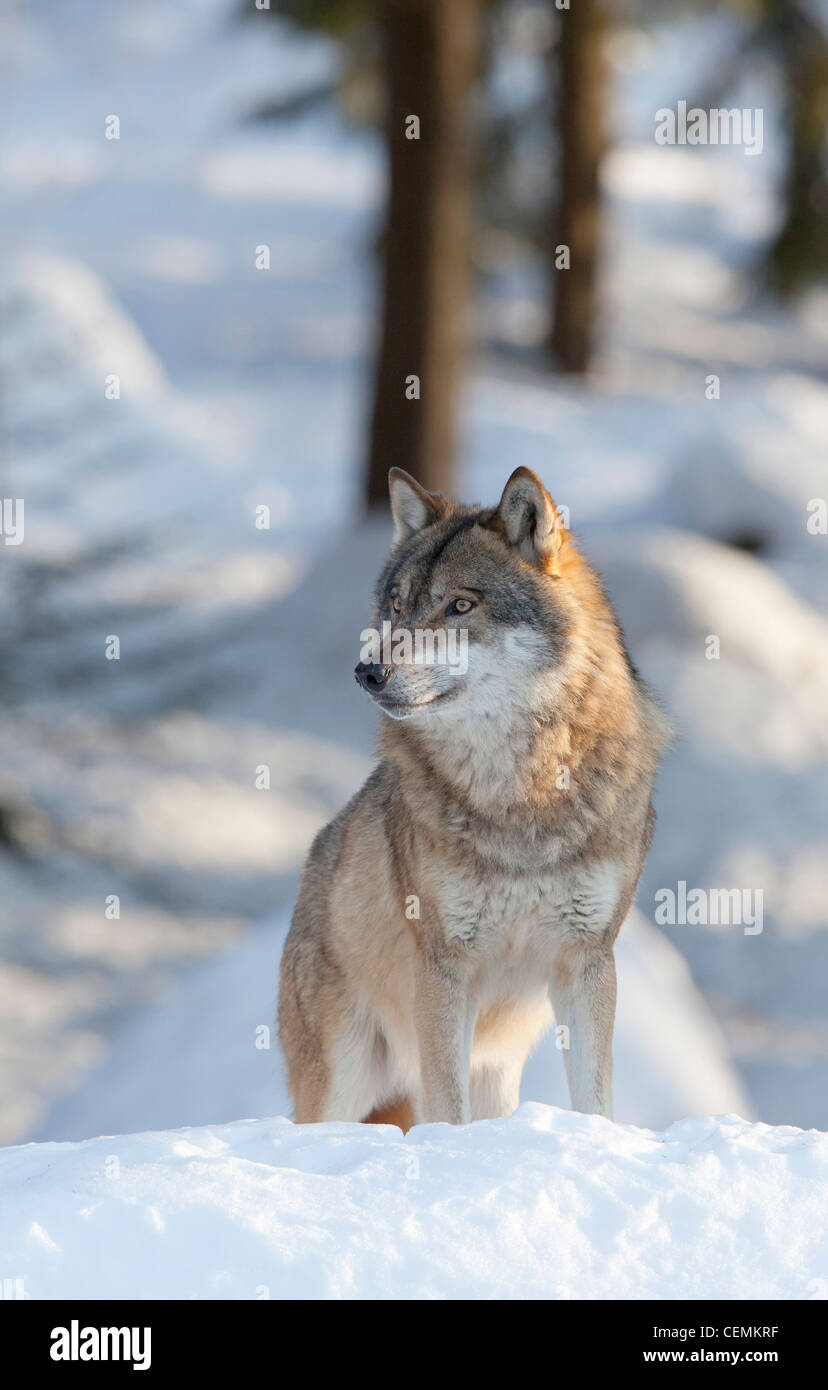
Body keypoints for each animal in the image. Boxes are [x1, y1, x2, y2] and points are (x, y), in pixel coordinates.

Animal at [279, 467, 672, 1128]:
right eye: (396, 606)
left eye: (459, 605)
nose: (367, 672)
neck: (521, 794)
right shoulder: (443, 966)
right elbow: (448, 1106)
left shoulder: (587, 961)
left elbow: (595, 1097)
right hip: (346, 1080)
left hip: (494, 1068)